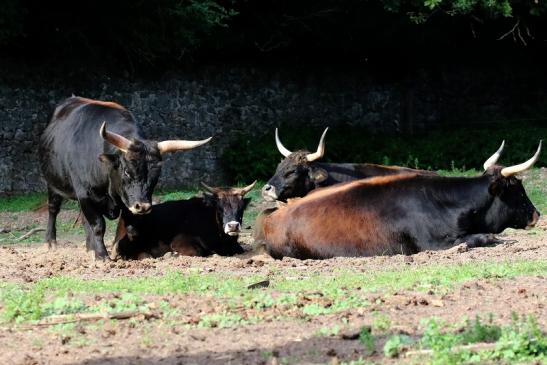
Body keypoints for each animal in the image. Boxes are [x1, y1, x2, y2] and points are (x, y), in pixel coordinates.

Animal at [39, 95, 212, 258]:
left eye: (156, 174)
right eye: (127, 171)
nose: (143, 207)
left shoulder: (127, 203)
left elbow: (130, 229)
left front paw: (119, 251)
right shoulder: (85, 194)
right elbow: (97, 226)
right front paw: (102, 256)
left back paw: (90, 247)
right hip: (53, 184)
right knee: (53, 209)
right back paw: (50, 242)